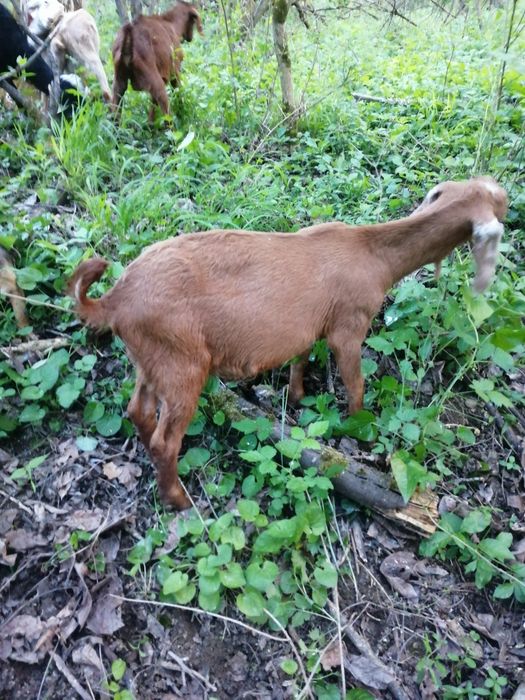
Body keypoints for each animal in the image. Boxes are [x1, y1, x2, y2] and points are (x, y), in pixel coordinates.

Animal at [67, 177, 507, 510]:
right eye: (499, 201)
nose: (507, 196)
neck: (372, 254)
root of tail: (115, 299)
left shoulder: (306, 327)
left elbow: (300, 358)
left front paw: (296, 398)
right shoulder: (349, 325)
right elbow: (355, 383)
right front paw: (357, 428)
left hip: (152, 359)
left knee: (138, 411)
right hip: (183, 365)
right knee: (165, 440)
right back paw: (179, 500)